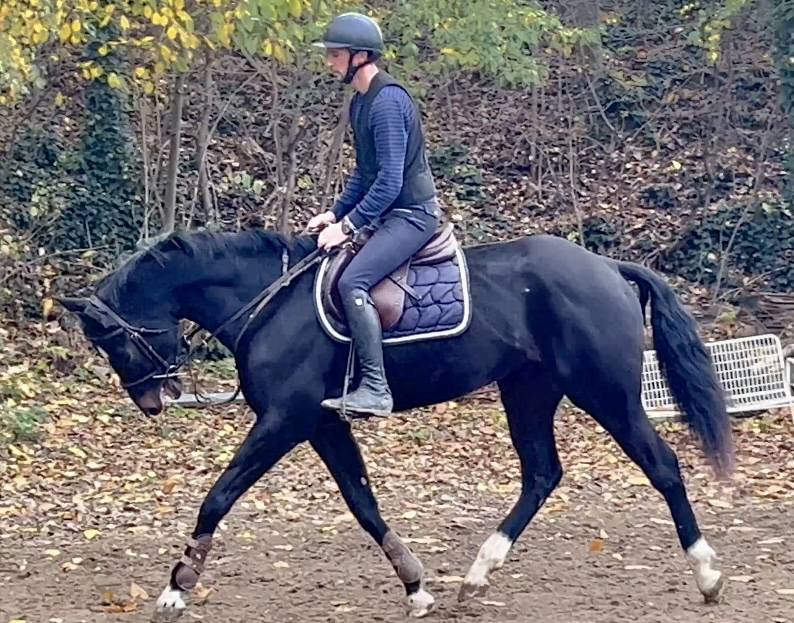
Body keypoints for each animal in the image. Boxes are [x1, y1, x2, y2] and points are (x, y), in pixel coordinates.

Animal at [58, 228, 734, 621]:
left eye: (112, 341)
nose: (154, 401)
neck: (268, 301)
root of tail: (608, 266)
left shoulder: (284, 419)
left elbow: (219, 495)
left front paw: (178, 587)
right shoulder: (320, 424)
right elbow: (363, 502)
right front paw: (415, 585)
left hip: (605, 392)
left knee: (662, 466)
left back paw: (707, 575)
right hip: (529, 391)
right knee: (542, 474)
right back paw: (476, 577)